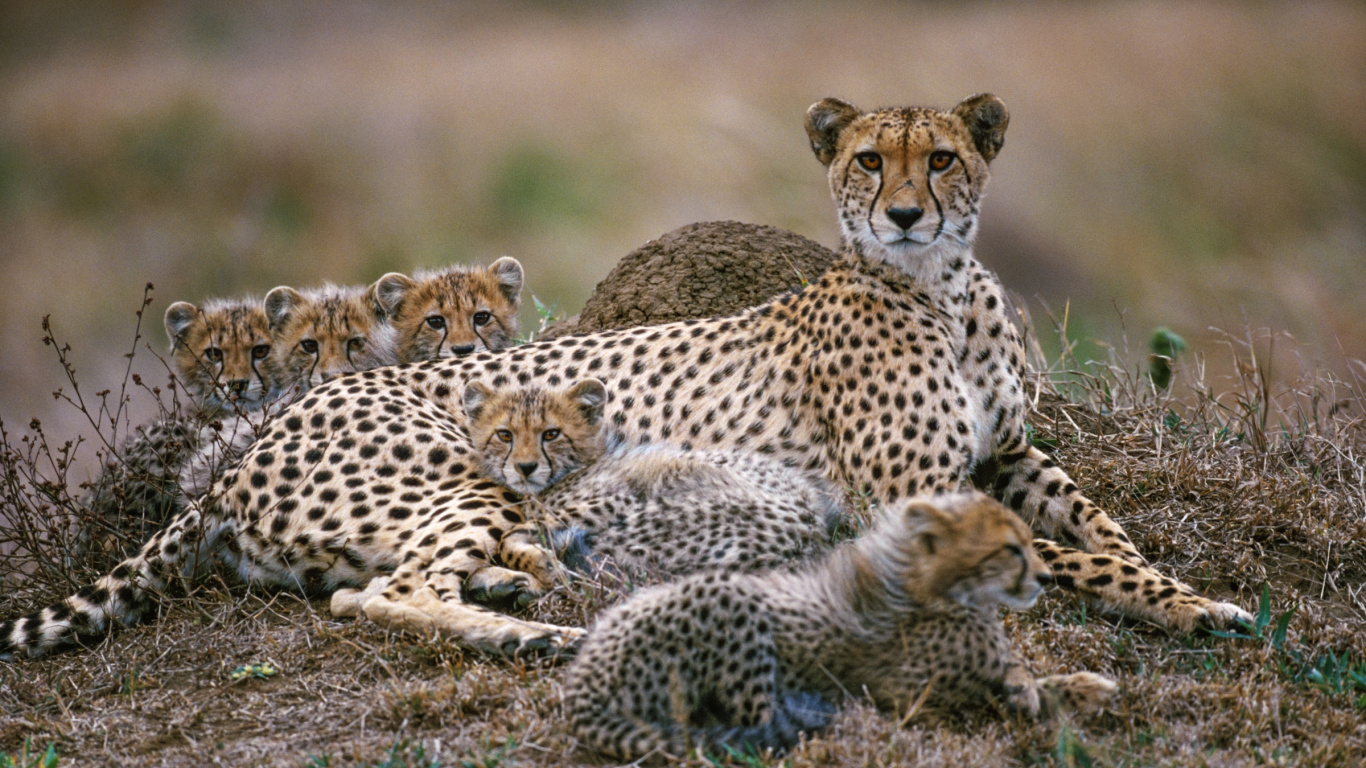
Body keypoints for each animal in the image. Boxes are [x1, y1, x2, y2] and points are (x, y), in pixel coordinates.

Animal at [564, 492, 1118, 760]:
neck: (940, 592)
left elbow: (1030, 678)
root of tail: (584, 681)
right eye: (1009, 549)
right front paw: (1066, 691)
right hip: (729, 602)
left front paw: (1085, 686)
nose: (1045, 577)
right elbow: (1008, 694)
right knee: (752, 721)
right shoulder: (914, 698)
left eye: (1029, 541)